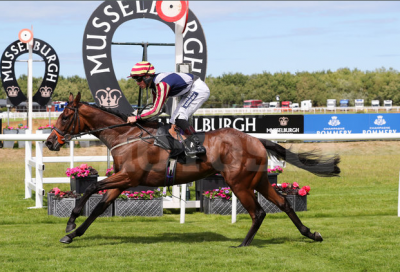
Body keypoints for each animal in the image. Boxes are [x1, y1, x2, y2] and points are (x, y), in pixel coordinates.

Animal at [44, 93, 340, 246]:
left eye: (65, 116)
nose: (49, 142)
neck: (126, 136)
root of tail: (256, 139)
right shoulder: (122, 181)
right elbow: (98, 207)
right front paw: (72, 234)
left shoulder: (128, 177)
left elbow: (91, 187)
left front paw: (70, 222)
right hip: (259, 180)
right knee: (283, 204)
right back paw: (311, 233)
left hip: (239, 183)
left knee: (258, 213)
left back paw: (243, 244)